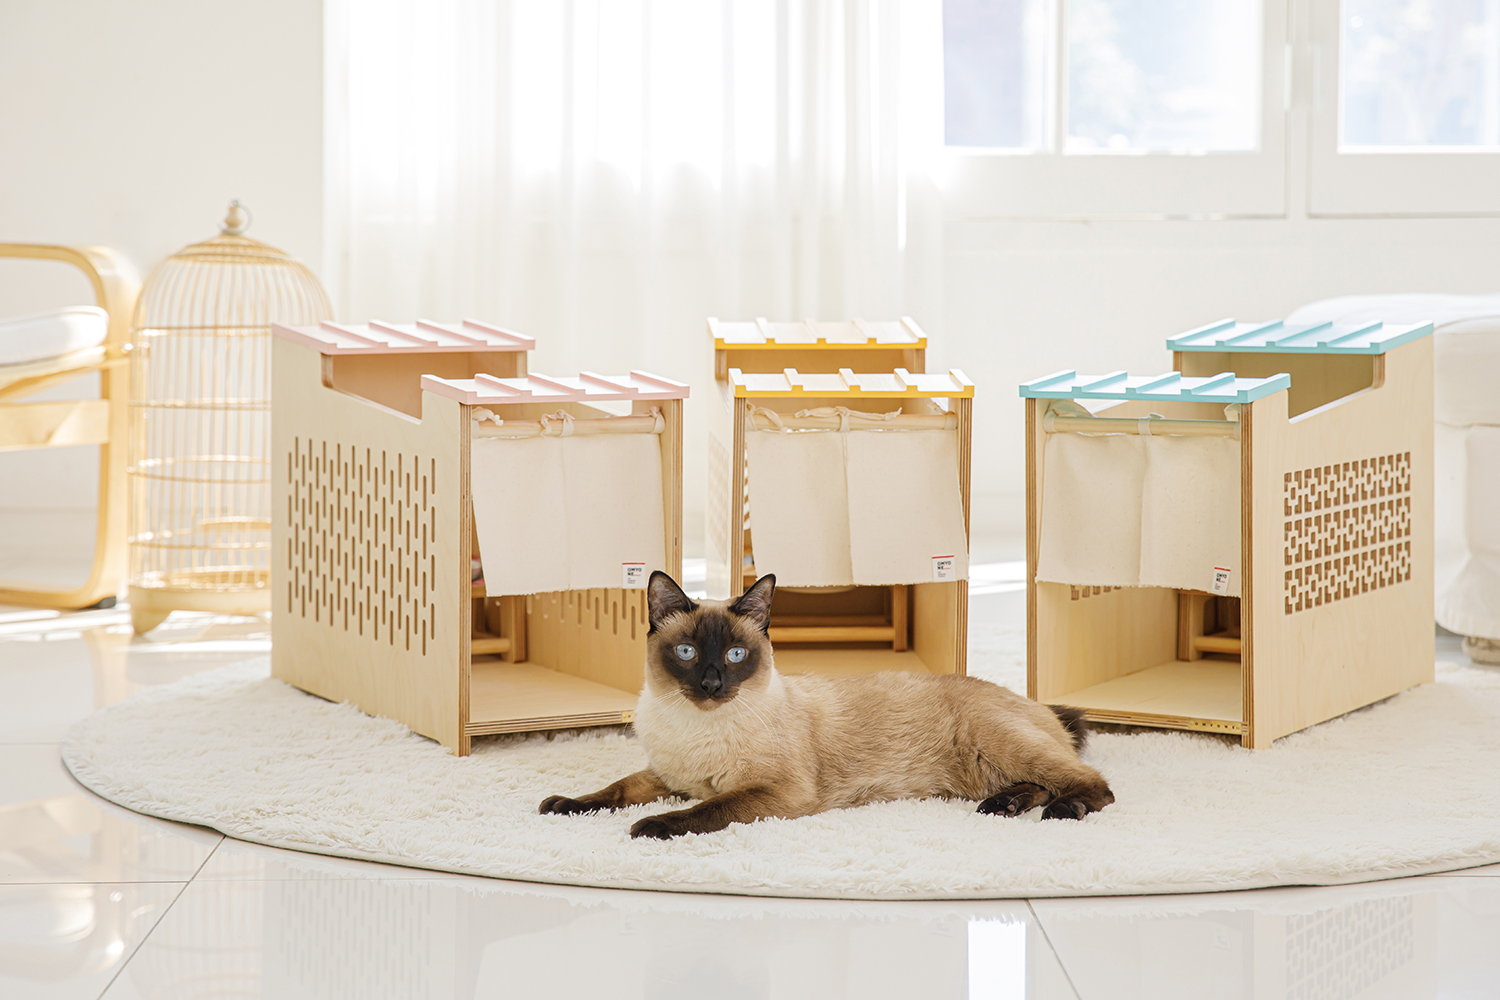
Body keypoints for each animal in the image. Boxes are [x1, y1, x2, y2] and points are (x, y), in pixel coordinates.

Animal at [538, 571, 1114, 839]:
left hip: (997, 744)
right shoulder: (667, 775)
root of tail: (1038, 705)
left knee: (1091, 785)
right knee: (1042, 781)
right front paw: (564, 806)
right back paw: (1005, 806)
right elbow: (613, 790)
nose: (711, 683)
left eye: (735, 654)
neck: (697, 726)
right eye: (686, 652)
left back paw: (1061, 811)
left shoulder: (772, 792)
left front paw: (650, 828)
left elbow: (703, 810)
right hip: (987, 766)